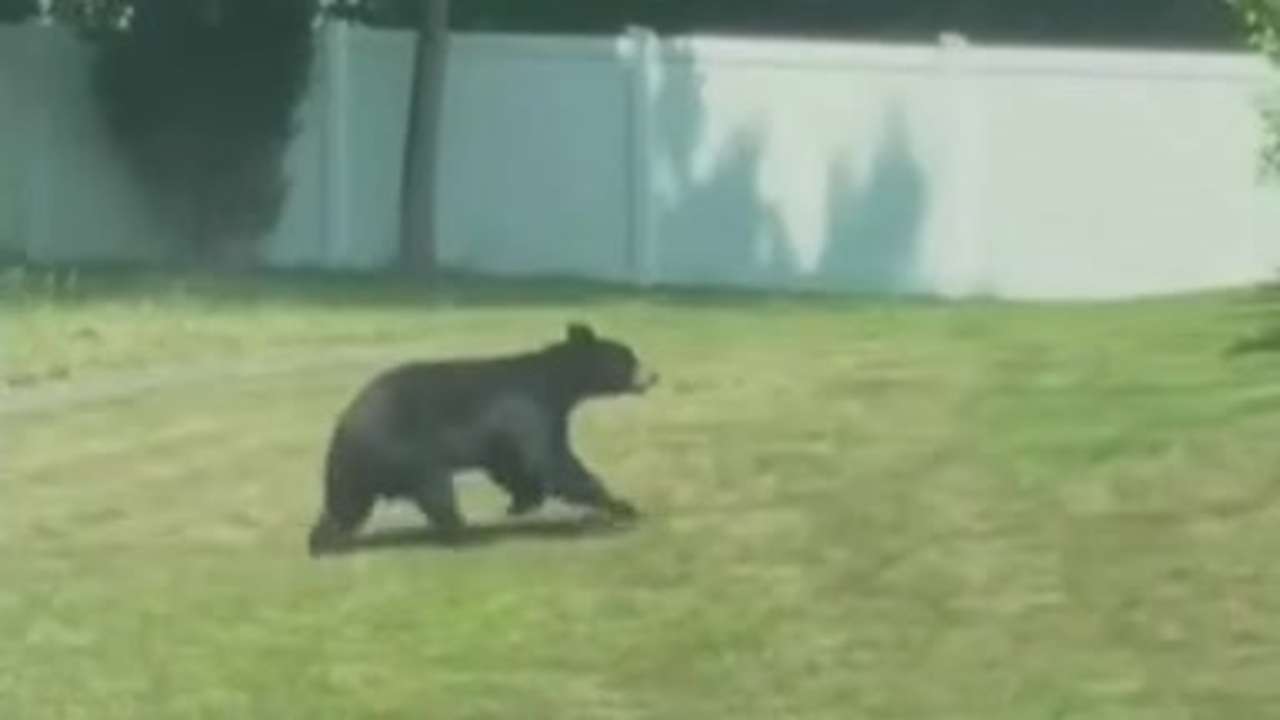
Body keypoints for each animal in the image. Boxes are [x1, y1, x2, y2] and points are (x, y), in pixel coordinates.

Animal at [307, 322, 657, 555]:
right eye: (628, 357)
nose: (654, 376)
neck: (557, 383)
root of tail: (345, 425)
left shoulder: (509, 433)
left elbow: (512, 465)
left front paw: (522, 502)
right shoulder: (528, 409)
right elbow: (549, 460)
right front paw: (622, 507)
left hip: (352, 472)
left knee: (345, 505)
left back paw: (323, 541)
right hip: (405, 450)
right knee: (435, 490)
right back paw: (467, 535)